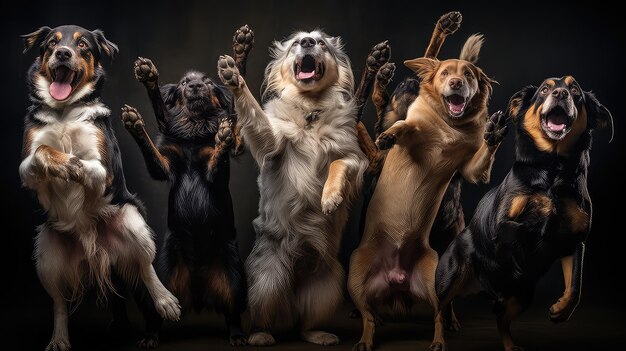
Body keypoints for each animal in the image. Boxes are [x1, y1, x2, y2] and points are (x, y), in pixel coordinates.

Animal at [18, 25, 180, 351]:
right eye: (51, 43)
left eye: (82, 45)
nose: (63, 53)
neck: (64, 111)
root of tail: (96, 251)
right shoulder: (26, 167)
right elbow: (42, 150)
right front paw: (64, 164)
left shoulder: (104, 168)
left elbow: (87, 164)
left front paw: (72, 165)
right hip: (45, 253)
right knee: (59, 303)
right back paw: (59, 338)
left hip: (132, 219)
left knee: (145, 267)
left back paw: (165, 301)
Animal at [119, 25, 251, 350]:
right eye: (183, 83)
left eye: (207, 82)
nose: (194, 86)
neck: (194, 128)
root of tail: (198, 293)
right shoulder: (165, 166)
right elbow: (158, 121)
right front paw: (146, 89)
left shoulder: (216, 171)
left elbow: (232, 116)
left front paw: (240, 53)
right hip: (161, 274)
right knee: (156, 312)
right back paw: (150, 336)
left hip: (237, 278)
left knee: (233, 314)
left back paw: (238, 335)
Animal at [217, 31, 368, 348]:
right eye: (297, 42)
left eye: (322, 43)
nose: (309, 41)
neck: (310, 110)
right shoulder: (271, 143)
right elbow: (255, 114)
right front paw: (233, 76)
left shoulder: (354, 157)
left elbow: (338, 165)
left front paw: (330, 198)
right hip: (267, 280)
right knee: (263, 316)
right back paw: (261, 335)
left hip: (328, 284)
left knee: (304, 324)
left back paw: (318, 334)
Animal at [346, 33, 508, 351]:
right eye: (445, 73)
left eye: (468, 75)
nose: (456, 83)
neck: (450, 125)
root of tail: (396, 279)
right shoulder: (409, 134)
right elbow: (402, 125)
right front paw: (389, 134)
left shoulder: (470, 169)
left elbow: (481, 158)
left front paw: (493, 133)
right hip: (355, 277)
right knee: (368, 315)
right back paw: (365, 339)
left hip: (435, 277)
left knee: (438, 312)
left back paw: (439, 339)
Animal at [434, 77, 608, 351]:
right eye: (545, 89)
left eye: (575, 91)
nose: (561, 93)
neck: (553, 166)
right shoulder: (500, 226)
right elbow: (522, 226)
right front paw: (544, 209)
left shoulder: (575, 242)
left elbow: (575, 286)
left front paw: (561, 310)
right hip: (451, 276)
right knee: (439, 309)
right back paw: (438, 340)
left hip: (522, 295)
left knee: (501, 320)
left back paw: (510, 344)